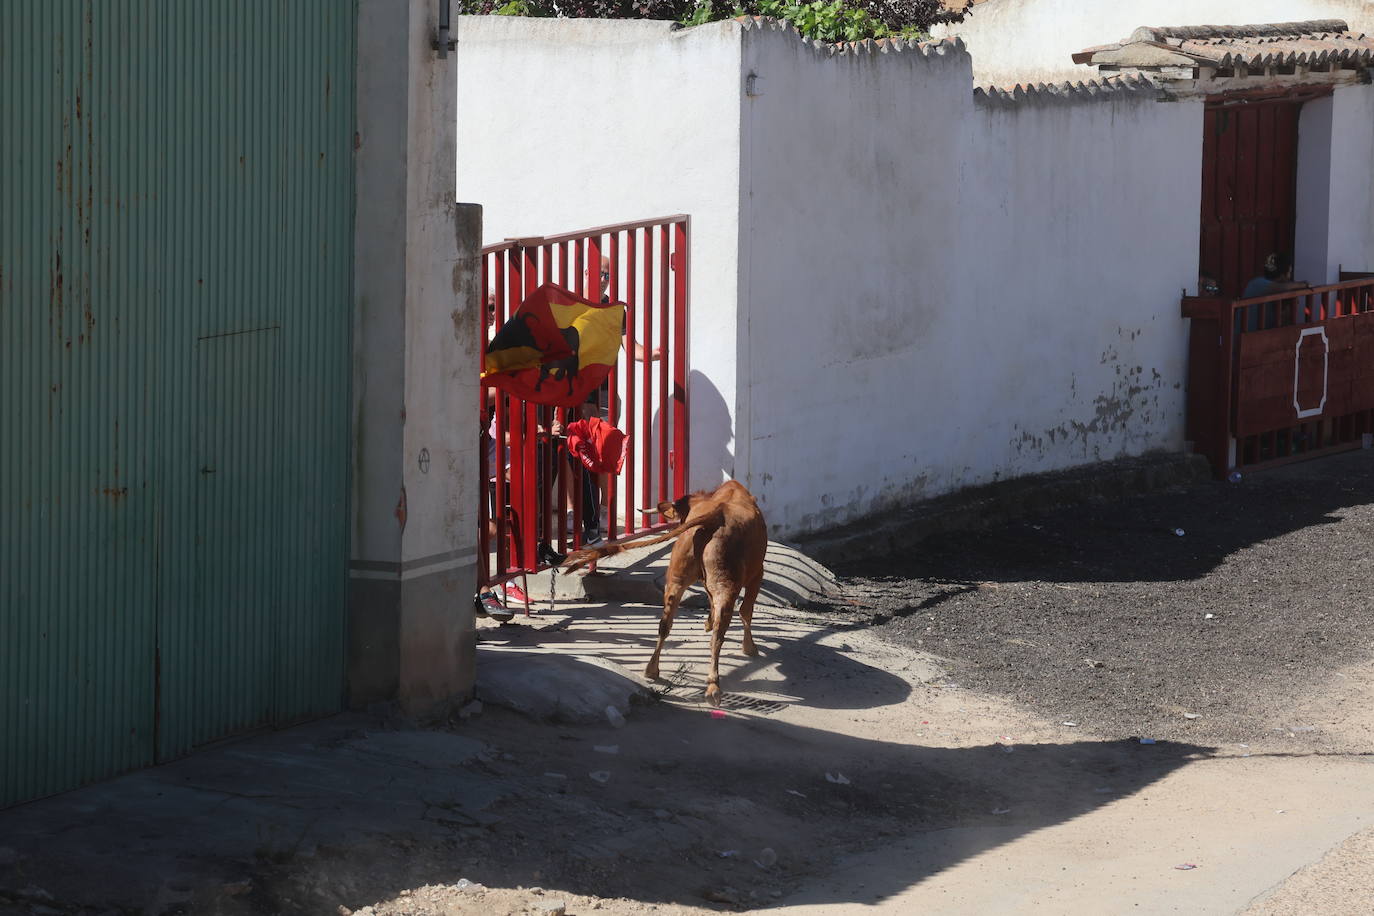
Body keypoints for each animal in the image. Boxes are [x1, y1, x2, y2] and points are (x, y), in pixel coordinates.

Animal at [560, 483, 774, 708]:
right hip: (725, 584)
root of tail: (715, 516)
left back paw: (652, 669)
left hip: (676, 579)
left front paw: (709, 622)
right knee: (719, 632)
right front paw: (749, 647)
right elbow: (746, 611)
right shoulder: (757, 574)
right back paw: (713, 687)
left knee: (665, 624)